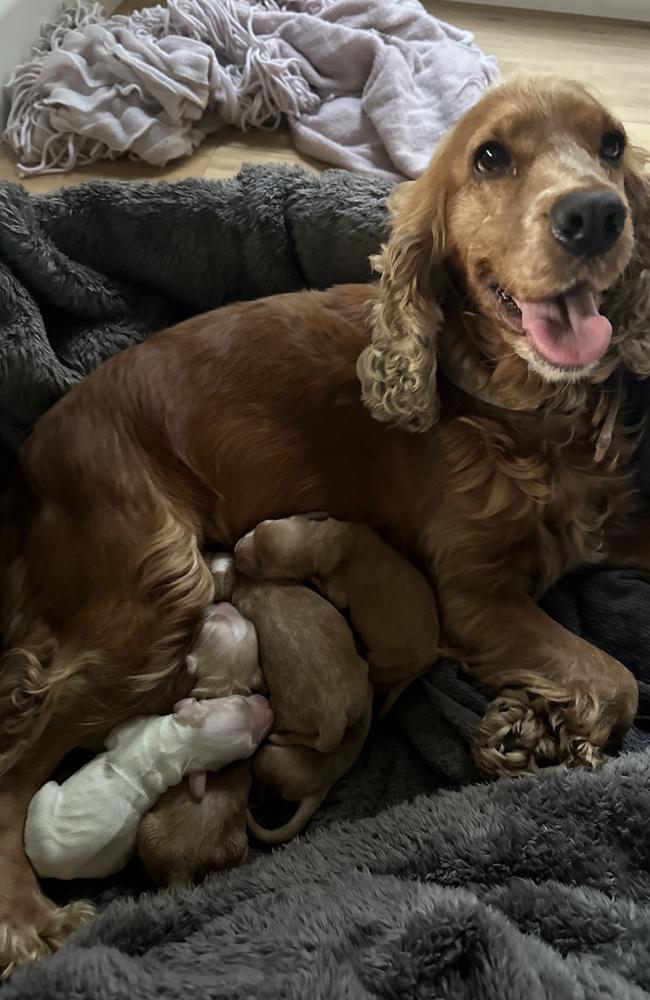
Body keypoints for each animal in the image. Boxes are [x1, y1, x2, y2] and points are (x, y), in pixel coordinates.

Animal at [235, 516, 438, 696]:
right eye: (259, 526)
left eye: (262, 567)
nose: (237, 552)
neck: (324, 541)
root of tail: (427, 661)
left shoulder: (338, 587)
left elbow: (336, 597)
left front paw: (314, 581)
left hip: (384, 661)